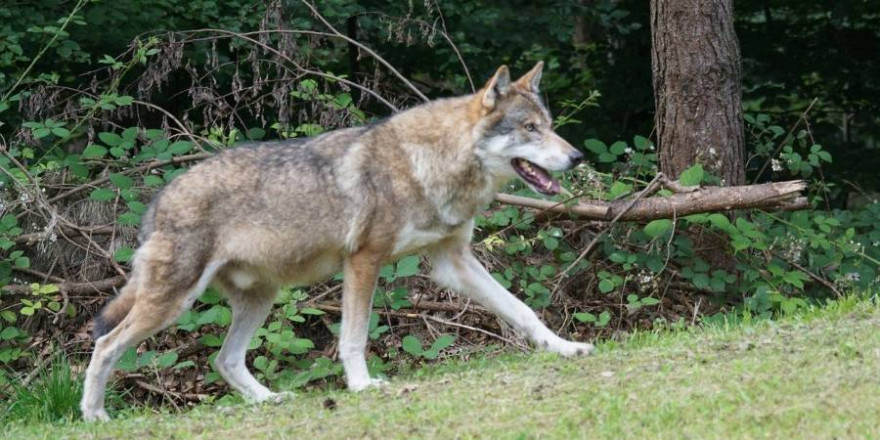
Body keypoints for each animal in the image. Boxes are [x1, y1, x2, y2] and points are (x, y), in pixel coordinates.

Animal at [81, 60, 592, 422]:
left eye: (548, 124)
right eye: (530, 129)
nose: (577, 157)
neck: (429, 163)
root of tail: (159, 197)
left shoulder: (454, 262)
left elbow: (522, 310)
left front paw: (564, 348)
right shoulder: (364, 260)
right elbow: (354, 338)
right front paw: (362, 386)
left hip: (259, 298)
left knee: (224, 360)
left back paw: (269, 400)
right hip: (174, 303)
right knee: (106, 345)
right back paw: (95, 415)